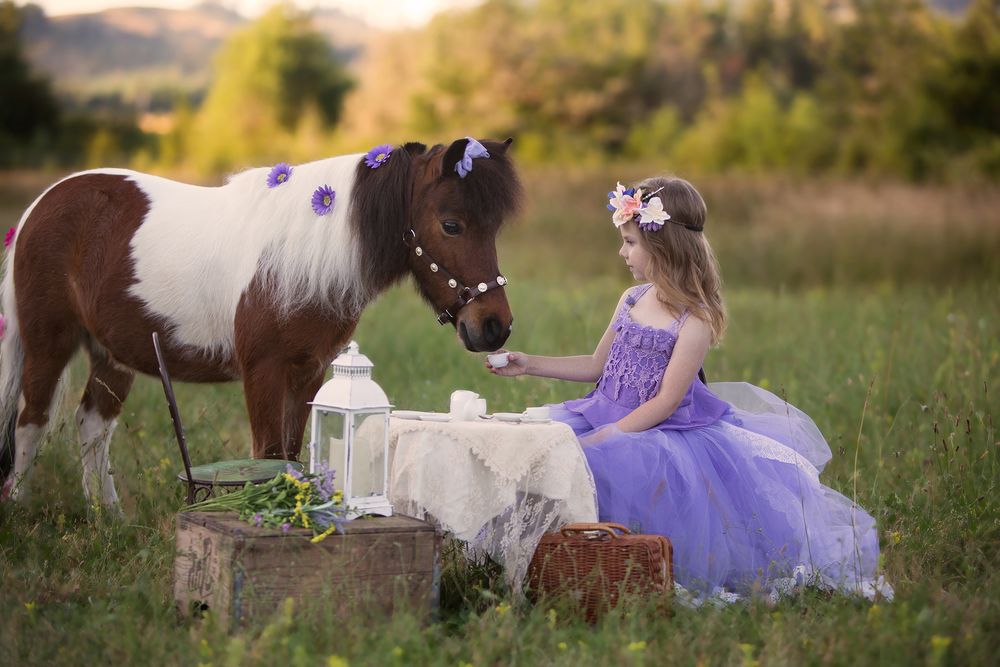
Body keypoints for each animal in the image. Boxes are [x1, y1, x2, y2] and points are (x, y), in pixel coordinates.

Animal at [0, 137, 523, 507]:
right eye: (451, 224)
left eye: (496, 227)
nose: (493, 327)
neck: (300, 258)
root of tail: (41, 205)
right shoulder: (263, 371)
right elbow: (269, 455)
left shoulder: (309, 371)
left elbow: (290, 455)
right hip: (49, 343)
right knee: (31, 422)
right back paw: (21, 512)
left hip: (113, 354)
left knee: (92, 426)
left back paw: (106, 516)